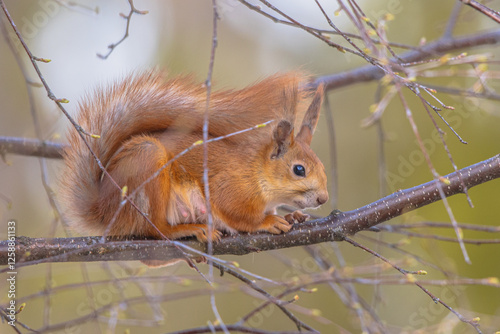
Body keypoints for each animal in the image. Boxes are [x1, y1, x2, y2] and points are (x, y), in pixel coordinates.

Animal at [60, 71, 328, 243]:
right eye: (299, 170)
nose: (323, 199)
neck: (257, 172)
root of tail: (103, 209)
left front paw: (292, 215)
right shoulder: (230, 187)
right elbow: (238, 215)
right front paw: (268, 222)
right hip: (147, 167)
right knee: (154, 229)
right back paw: (188, 229)